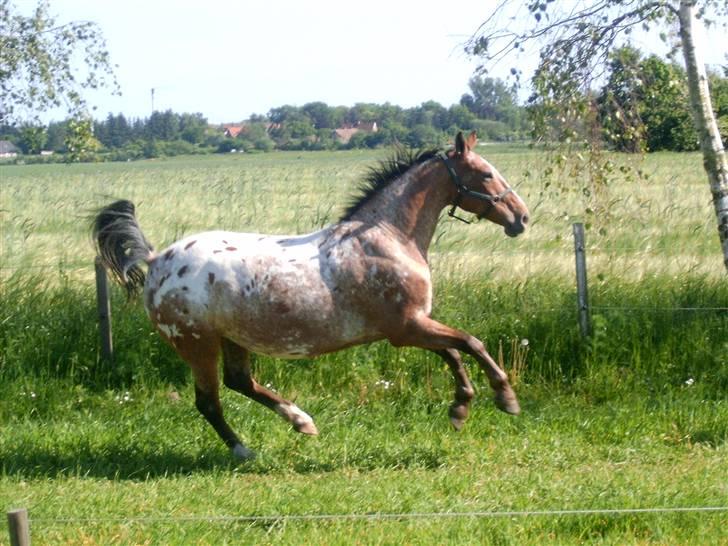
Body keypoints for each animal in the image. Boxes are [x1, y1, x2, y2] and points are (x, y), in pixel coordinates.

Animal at [94, 132, 532, 460]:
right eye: (486, 174)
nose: (522, 218)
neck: (387, 238)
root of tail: (156, 260)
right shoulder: (406, 328)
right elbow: (469, 343)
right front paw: (504, 399)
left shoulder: (415, 325)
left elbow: (454, 352)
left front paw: (460, 409)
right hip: (197, 344)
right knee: (209, 401)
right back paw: (244, 450)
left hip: (233, 338)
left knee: (240, 382)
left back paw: (302, 421)